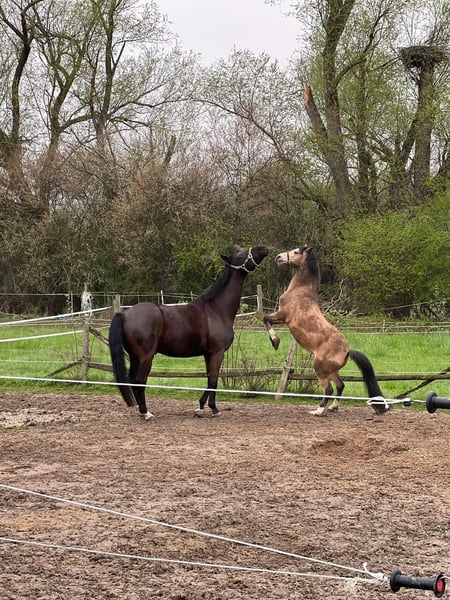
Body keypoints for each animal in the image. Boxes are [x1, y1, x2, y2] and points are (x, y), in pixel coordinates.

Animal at [109, 245, 269, 419]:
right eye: (240, 256)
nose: (263, 249)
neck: (217, 309)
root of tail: (125, 314)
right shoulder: (217, 352)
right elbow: (214, 379)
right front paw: (212, 408)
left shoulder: (208, 354)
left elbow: (209, 379)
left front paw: (203, 407)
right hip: (146, 357)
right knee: (140, 381)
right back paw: (146, 412)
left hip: (134, 357)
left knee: (131, 380)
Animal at [262, 244, 387, 416]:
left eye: (296, 252)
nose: (278, 257)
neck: (300, 291)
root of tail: (347, 350)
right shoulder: (281, 318)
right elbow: (266, 320)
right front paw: (275, 342)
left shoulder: (283, 315)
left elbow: (265, 318)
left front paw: (275, 342)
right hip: (332, 371)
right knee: (340, 385)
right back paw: (333, 407)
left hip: (320, 369)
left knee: (328, 389)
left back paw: (318, 411)